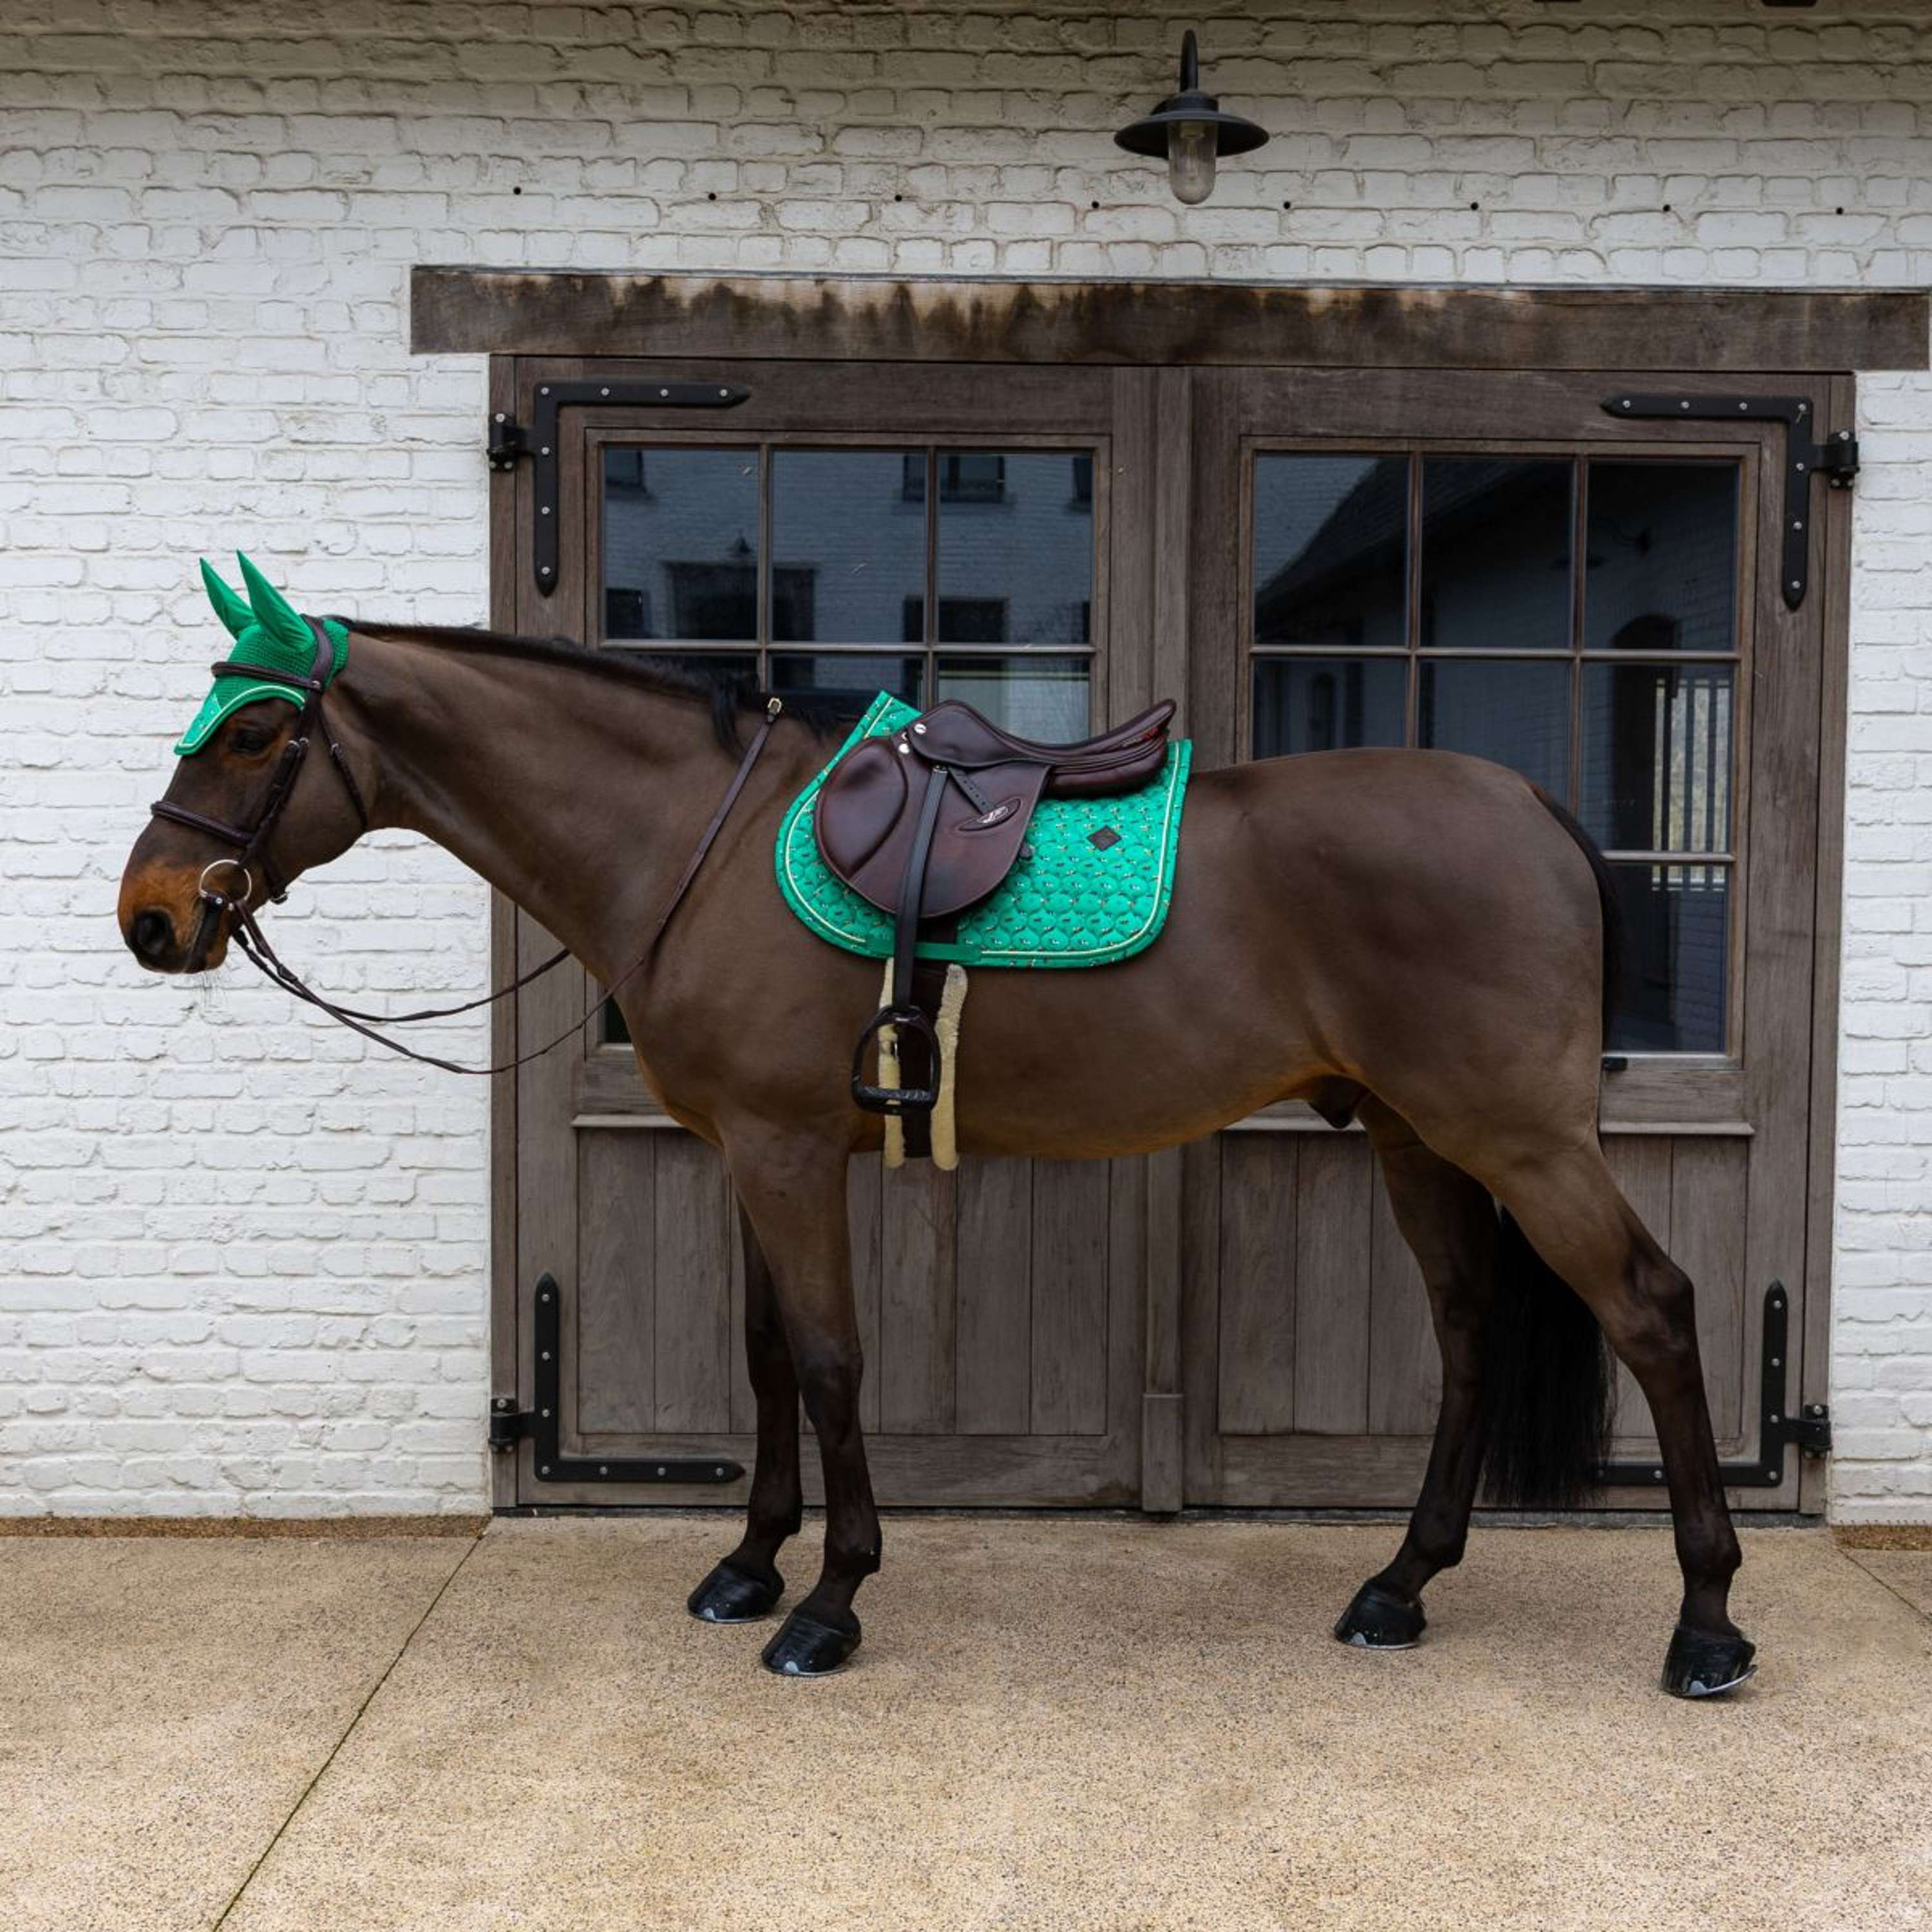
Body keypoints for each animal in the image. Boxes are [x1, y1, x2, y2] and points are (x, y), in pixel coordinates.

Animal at [118, 561, 1755, 1697]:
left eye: (253, 730)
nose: (150, 915)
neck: (697, 841)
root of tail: (1537, 812)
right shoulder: (743, 1152)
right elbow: (769, 1360)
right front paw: (747, 1565)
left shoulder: (787, 1153)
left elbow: (835, 1360)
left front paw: (830, 1602)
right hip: (1418, 1135)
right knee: (1472, 1331)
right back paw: (1400, 1586)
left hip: (1520, 1139)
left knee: (1655, 1310)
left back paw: (1705, 1622)